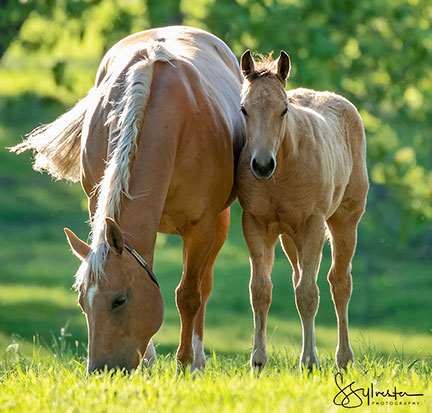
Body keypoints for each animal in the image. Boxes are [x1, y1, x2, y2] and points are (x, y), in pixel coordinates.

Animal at [10, 26, 245, 374]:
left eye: (119, 300)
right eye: (82, 301)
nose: (101, 371)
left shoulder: (202, 226)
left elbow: (190, 294)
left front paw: (185, 364)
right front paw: (149, 361)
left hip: (219, 225)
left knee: (204, 285)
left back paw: (197, 360)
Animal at [238, 50, 370, 370]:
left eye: (284, 110)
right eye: (244, 109)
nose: (262, 165)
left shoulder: (313, 225)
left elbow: (309, 294)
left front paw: (309, 362)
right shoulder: (255, 225)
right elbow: (261, 291)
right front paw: (258, 362)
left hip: (344, 222)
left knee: (339, 283)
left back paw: (343, 359)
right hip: (289, 237)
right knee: (299, 277)